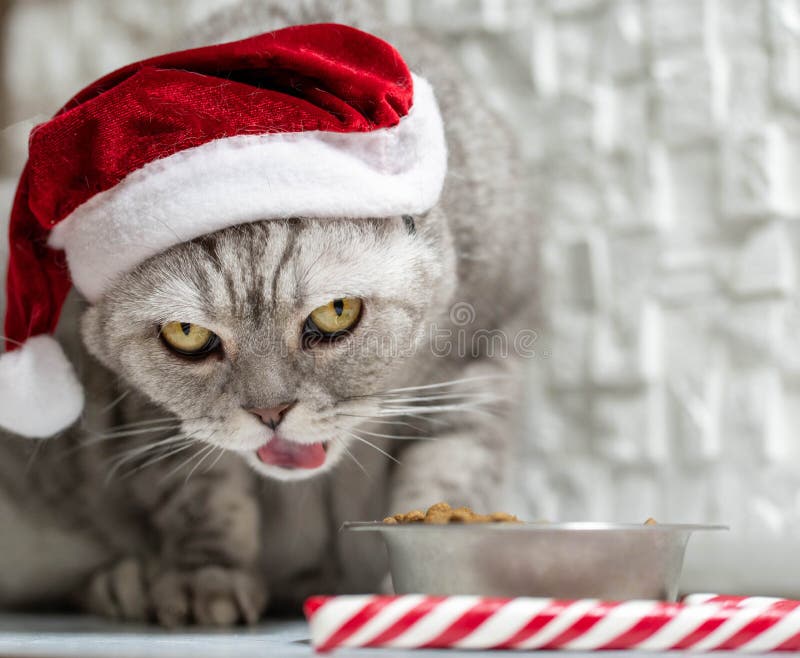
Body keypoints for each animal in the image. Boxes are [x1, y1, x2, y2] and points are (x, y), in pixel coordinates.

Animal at [0, 0, 536, 624]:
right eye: (187, 333)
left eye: (336, 313)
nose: (270, 412)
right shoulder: (147, 416)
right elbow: (204, 497)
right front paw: (205, 581)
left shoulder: (482, 366)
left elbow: (450, 472)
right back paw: (126, 585)